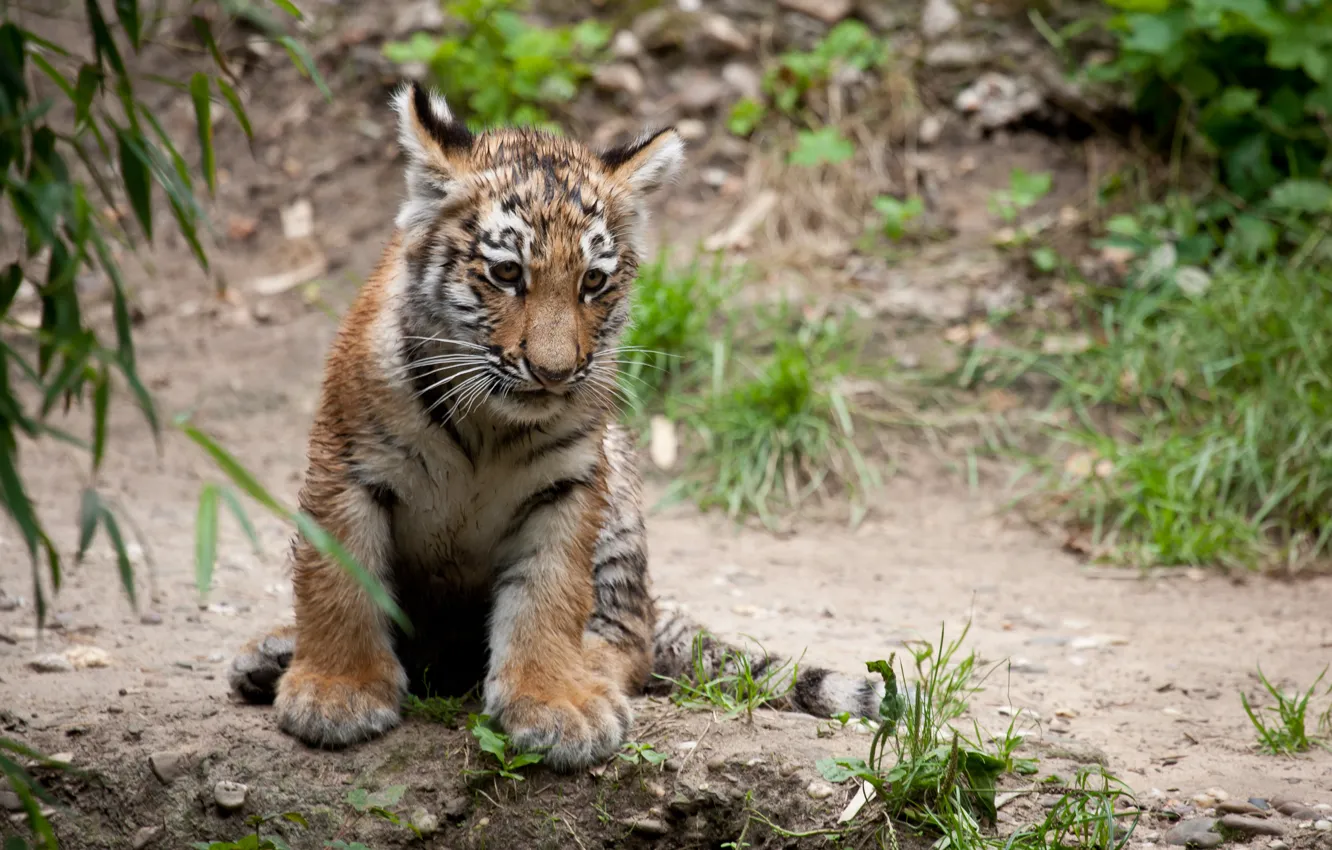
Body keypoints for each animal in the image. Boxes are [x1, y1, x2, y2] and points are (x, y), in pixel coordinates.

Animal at [228, 82, 883, 770]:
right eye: (507, 273)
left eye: (593, 281)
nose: (553, 371)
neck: (488, 424)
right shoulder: (347, 465)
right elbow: (339, 581)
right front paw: (336, 693)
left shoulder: (567, 487)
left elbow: (548, 597)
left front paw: (557, 703)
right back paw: (272, 654)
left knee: (631, 642)